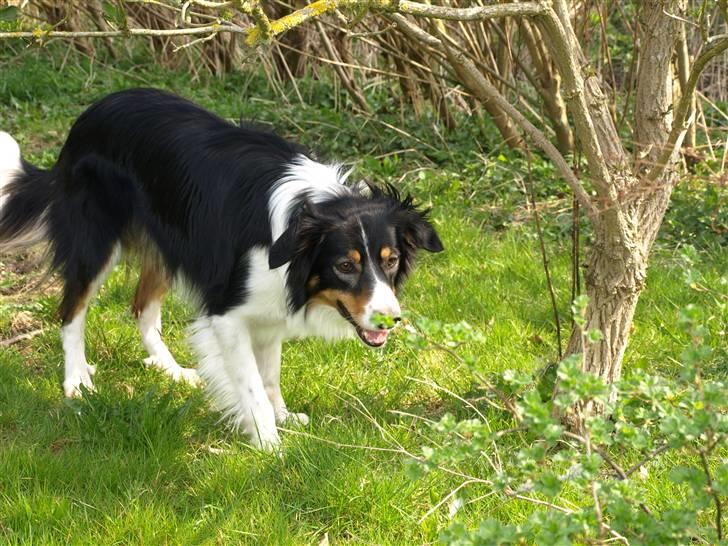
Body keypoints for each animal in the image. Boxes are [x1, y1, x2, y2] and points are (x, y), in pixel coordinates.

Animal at [0, 88, 444, 446]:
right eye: (345, 266)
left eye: (391, 261)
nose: (391, 321)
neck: (303, 221)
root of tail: (90, 114)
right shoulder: (228, 312)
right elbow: (251, 385)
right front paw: (270, 445)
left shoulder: (268, 309)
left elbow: (269, 375)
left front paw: (283, 418)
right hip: (96, 241)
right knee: (71, 311)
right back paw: (76, 381)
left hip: (169, 244)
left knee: (142, 307)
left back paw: (171, 370)